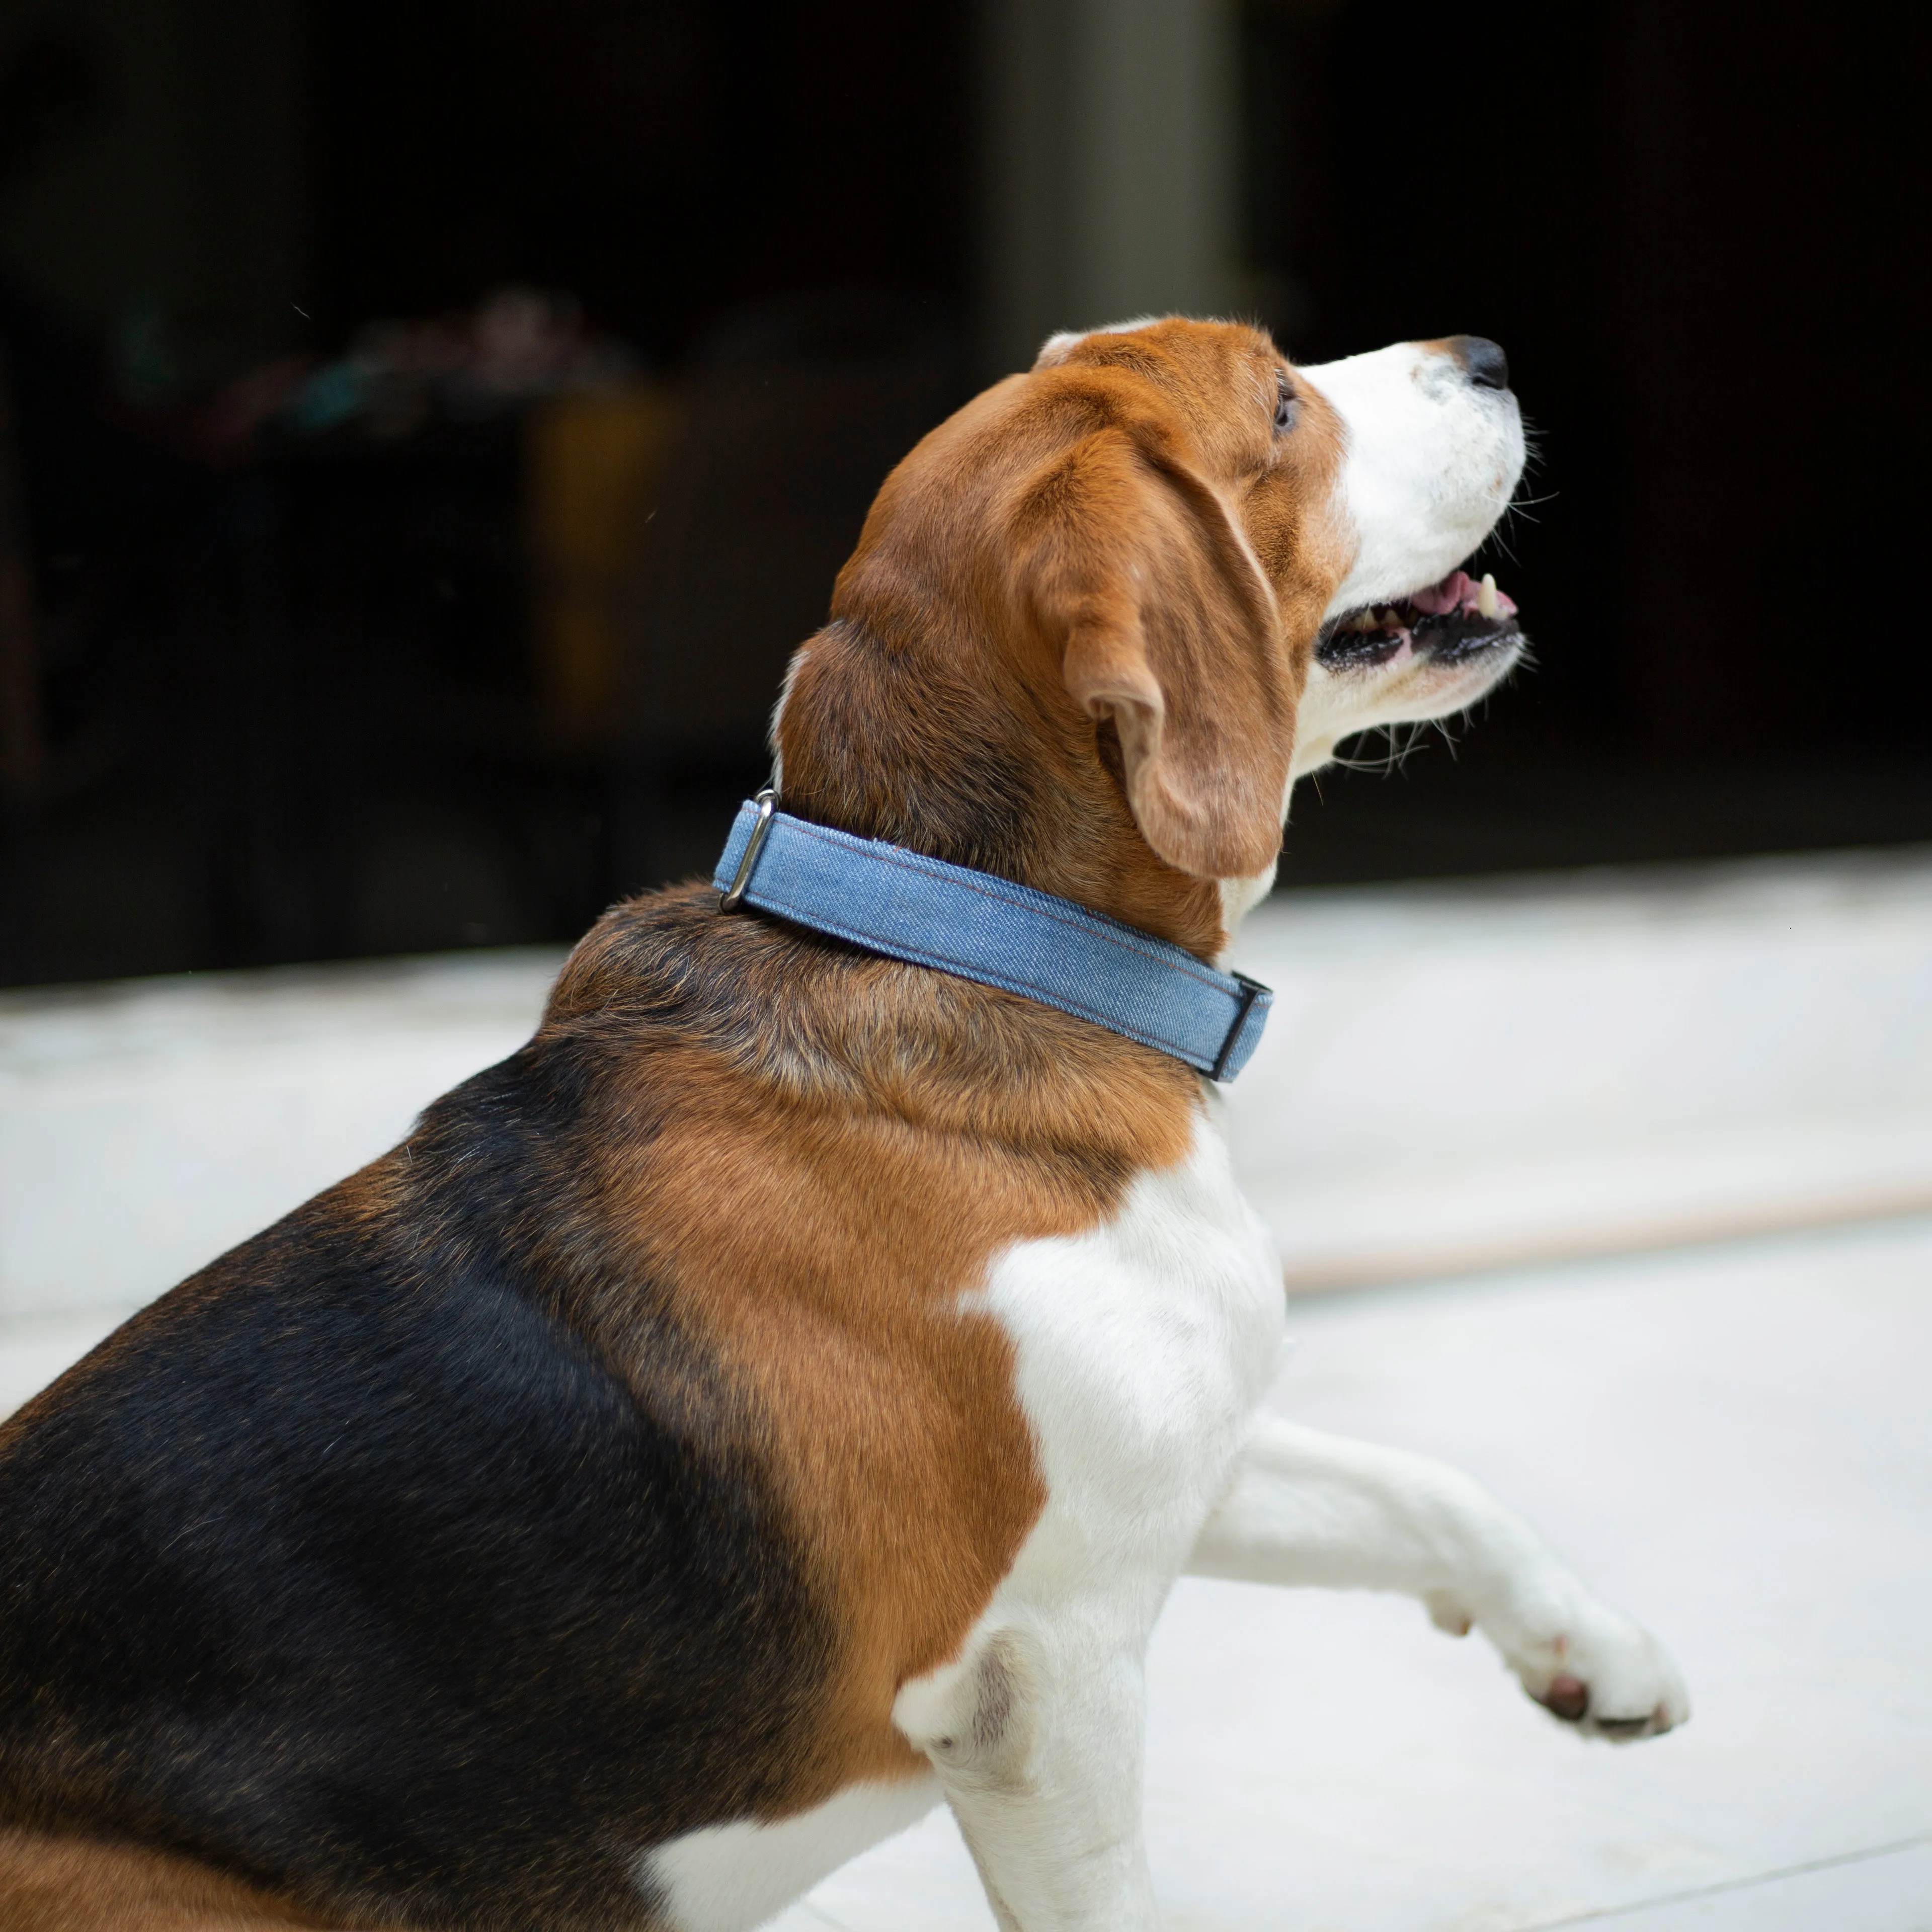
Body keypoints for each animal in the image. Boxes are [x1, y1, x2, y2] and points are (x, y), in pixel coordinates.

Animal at [0, 325, 1684, 1924]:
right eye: (1279, 407)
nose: (1489, 355)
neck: (971, 938)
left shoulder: (1155, 1477)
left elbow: (1421, 1488)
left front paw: (1590, 1643)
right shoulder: (1039, 1680)